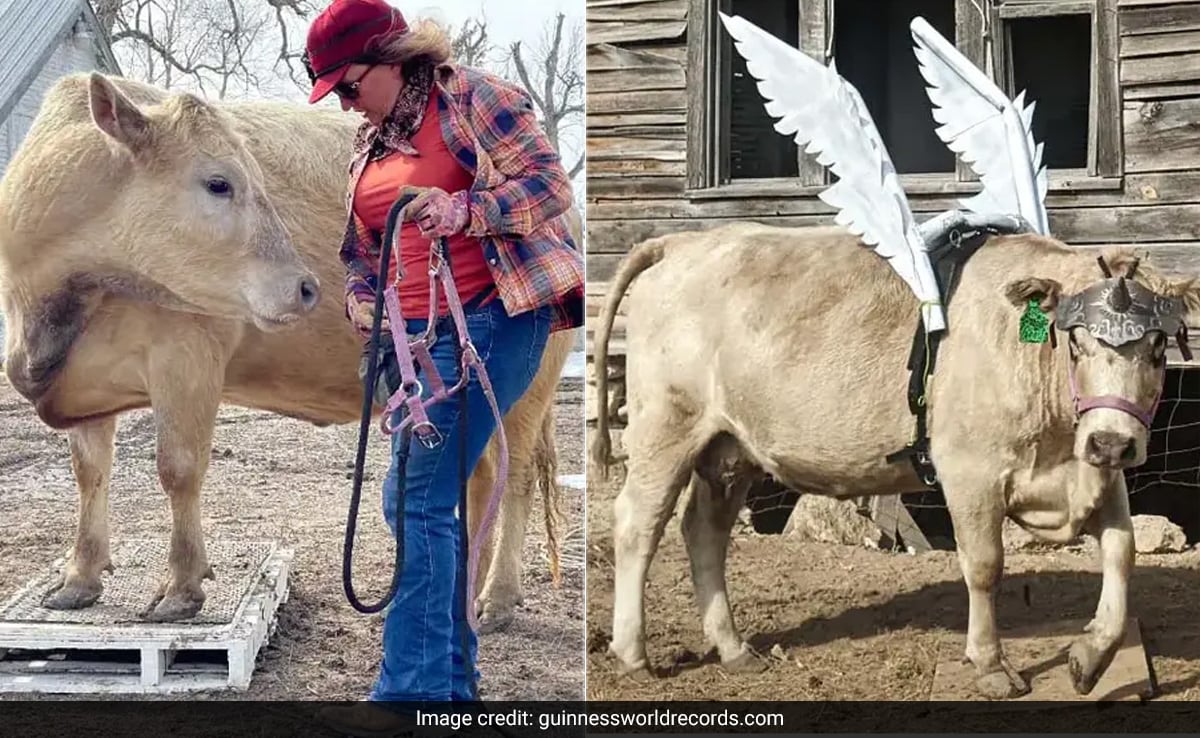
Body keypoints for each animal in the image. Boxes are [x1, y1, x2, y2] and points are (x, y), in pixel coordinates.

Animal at [0, 72, 577, 631]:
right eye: (219, 182)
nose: (305, 287)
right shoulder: (85, 376)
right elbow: (89, 472)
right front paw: (79, 578)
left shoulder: (186, 355)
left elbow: (178, 468)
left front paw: (182, 588)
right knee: (479, 476)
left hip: (526, 385)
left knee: (515, 477)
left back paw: (495, 597)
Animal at [589, 221, 1199, 699]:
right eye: (1074, 342)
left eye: (1156, 349)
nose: (1113, 444)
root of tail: (681, 241)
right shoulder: (970, 472)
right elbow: (985, 566)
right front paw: (991, 665)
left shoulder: (1090, 471)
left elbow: (1122, 551)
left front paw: (1089, 656)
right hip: (666, 427)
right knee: (639, 524)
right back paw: (633, 653)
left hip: (728, 447)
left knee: (704, 530)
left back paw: (734, 647)